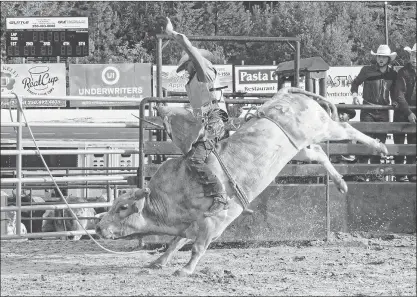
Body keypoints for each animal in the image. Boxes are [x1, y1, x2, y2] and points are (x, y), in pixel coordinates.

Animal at [95, 87, 386, 276]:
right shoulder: (188, 224)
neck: (171, 195)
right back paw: (340, 183)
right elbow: (174, 242)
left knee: (345, 129)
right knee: (319, 153)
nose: (98, 227)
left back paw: (380, 146)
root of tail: (287, 94)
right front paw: (158, 262)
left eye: (122, 207)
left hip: (322, 127)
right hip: (297, 148)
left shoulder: (215, 221)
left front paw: (185, 270)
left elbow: (197, 246)